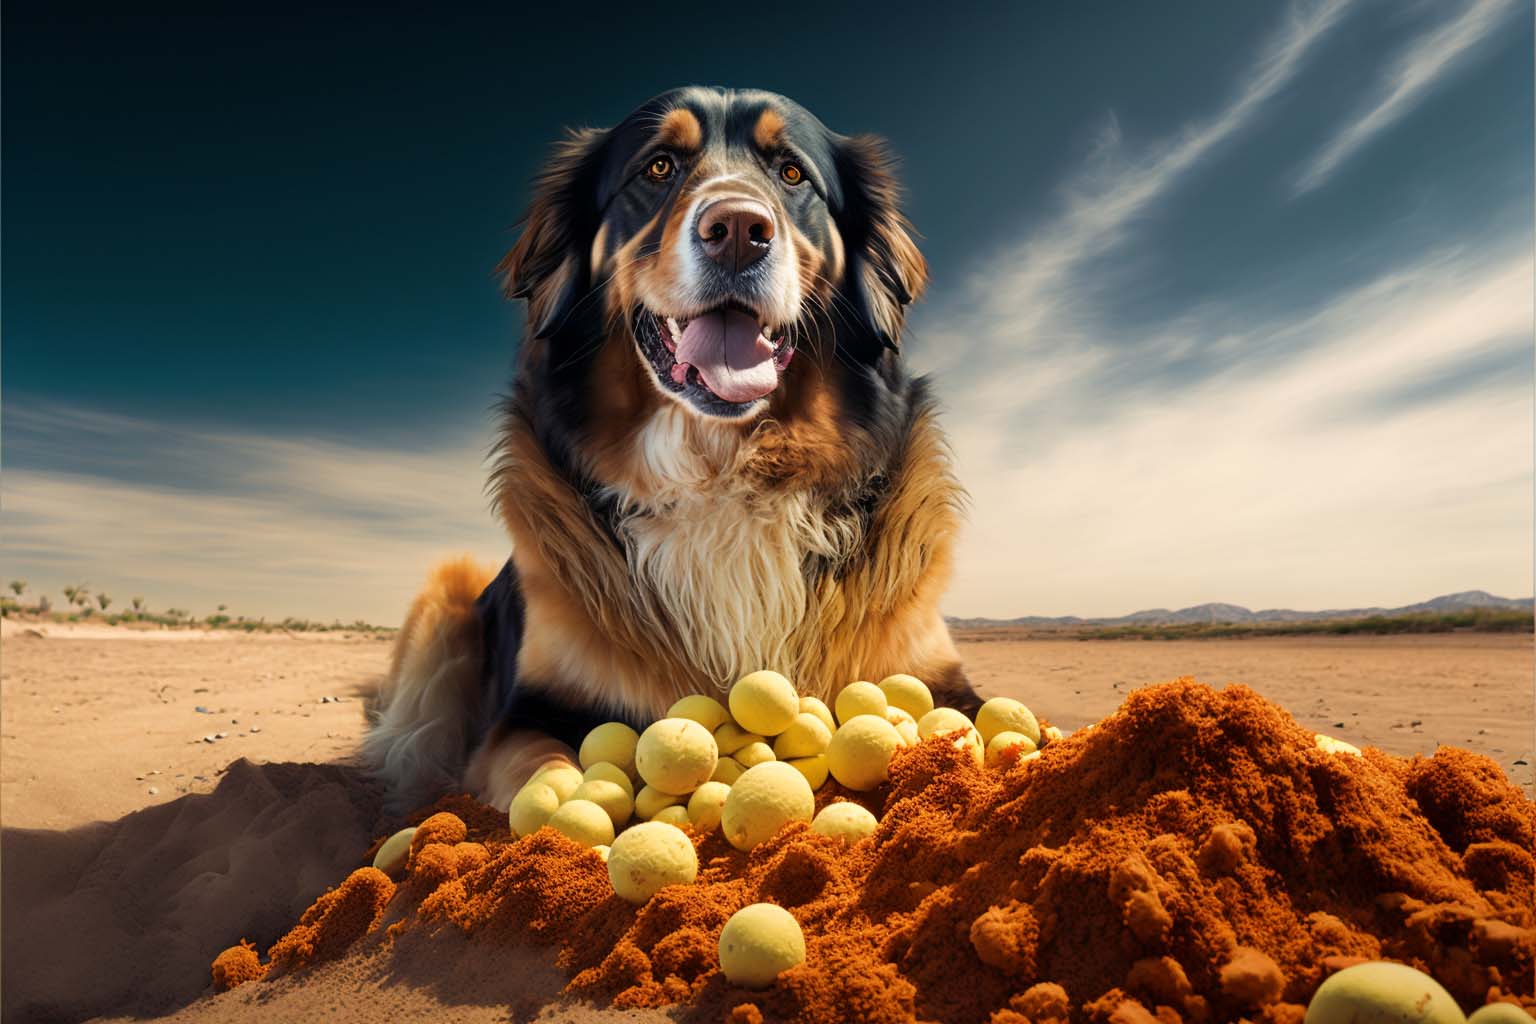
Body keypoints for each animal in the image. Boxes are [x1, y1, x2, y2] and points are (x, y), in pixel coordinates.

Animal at [365, 84, 976, 810]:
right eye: (657, 168)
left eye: (792, 173)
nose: (739, 230)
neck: (719, 466)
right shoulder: (529, 713)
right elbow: (545, 767)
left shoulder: (938, 676)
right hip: (448, 594)